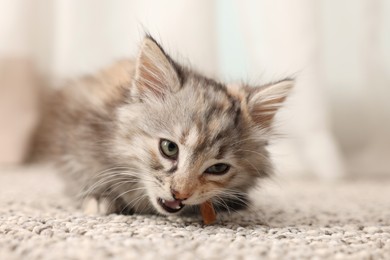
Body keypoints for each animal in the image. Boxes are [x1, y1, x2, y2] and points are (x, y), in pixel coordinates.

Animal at [29, 34, 292, 216]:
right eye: (169, 148)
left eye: (218, 168)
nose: (180, 194)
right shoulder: (72, 129)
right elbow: (81, 173)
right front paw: (98, 197)